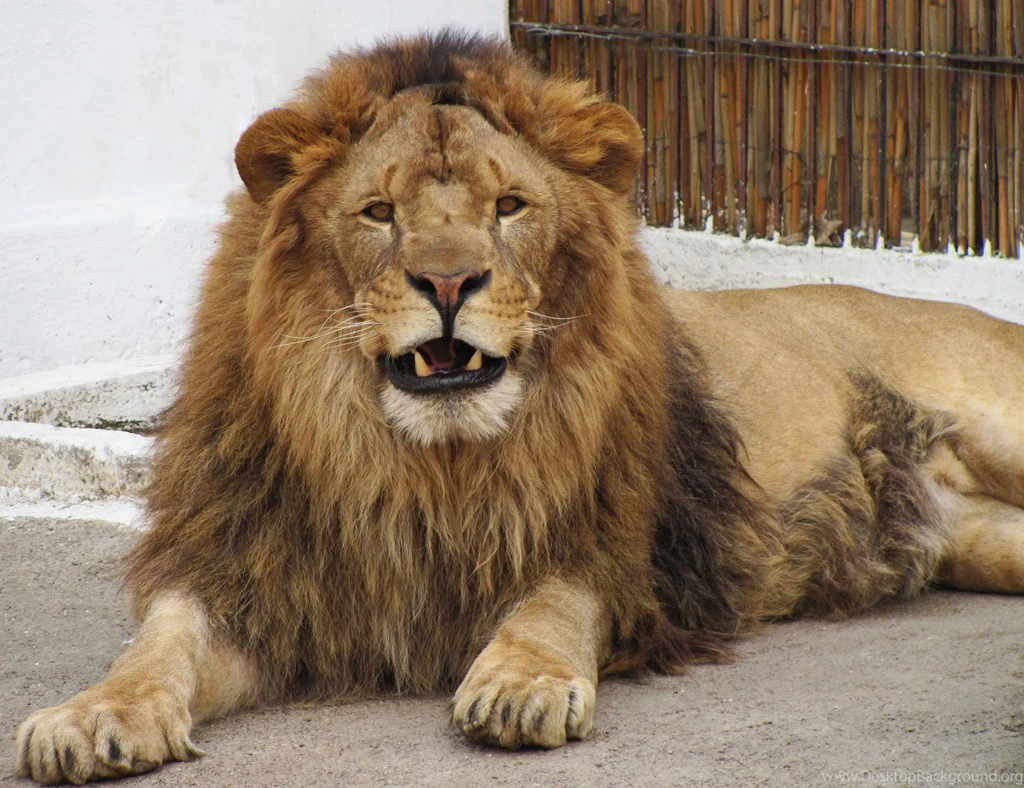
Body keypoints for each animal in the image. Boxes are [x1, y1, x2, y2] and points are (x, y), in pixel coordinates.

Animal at [15, 31, 1024, 784]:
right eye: (378, 212)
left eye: (509, 205)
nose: (448, 282)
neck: (418, 461)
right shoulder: (254, 573)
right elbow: (156, 646)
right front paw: (89, 717)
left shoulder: (615, 552)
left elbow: (551, 604)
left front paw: (521, 683)